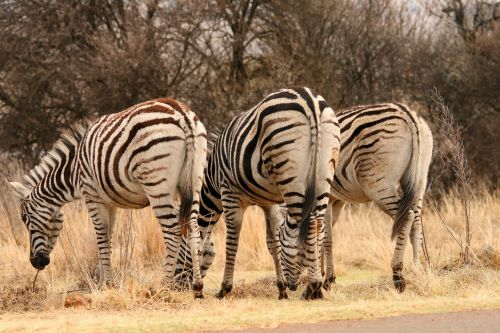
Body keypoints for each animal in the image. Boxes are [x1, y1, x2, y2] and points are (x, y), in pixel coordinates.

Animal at [7, 97, 207, 296]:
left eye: (25, 219)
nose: (36, 263)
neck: (73, 172)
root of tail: (182, 114)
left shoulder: (92, 197)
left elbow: (101, 238)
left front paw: (107, 284)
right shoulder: (110, 203)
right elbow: (108, 239)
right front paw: (104, 281)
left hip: (157, 183)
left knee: (173, 231)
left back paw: (163, 286)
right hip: (195, 180)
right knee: (193, 227)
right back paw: (197, 285)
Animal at [174, 87, 342, 300]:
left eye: (181, 249)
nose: (176, 287)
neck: (213, 179)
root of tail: (309, 100)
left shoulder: (229, 193)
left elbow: (232, 241)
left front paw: (224, 289)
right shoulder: (268, 203)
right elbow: (273, 243)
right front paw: (281, 289)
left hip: (292, 176)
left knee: (309, 225)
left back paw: (313, 285)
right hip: (324, 174)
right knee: (319, 225)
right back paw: (314, 289)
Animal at [290, 102, 434, 292]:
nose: (292, 286)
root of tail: (407, 114)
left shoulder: (325, 197)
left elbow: (325, 236)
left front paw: (325, 280)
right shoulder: (337, 201)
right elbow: (325, 234)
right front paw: (324, 276)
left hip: (379, 185)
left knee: (407, 216)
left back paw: (398, 276)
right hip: (418, 181)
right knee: (417, 222)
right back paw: (418, 270)